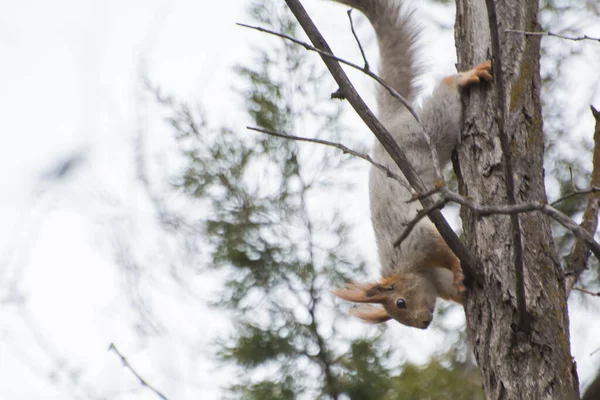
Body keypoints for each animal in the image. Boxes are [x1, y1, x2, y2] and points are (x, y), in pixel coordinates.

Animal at [332, 0, 492, 328]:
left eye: (400, 303)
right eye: (398, 316)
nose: (423, 323)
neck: (411, 269)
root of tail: (389, 122)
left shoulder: (417, 239)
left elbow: (445, 248)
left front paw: (458, 267)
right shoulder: (434, 277)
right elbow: (449, 284)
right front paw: (460, 288)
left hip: (425, 128)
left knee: (445, 94)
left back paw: (463, 78)